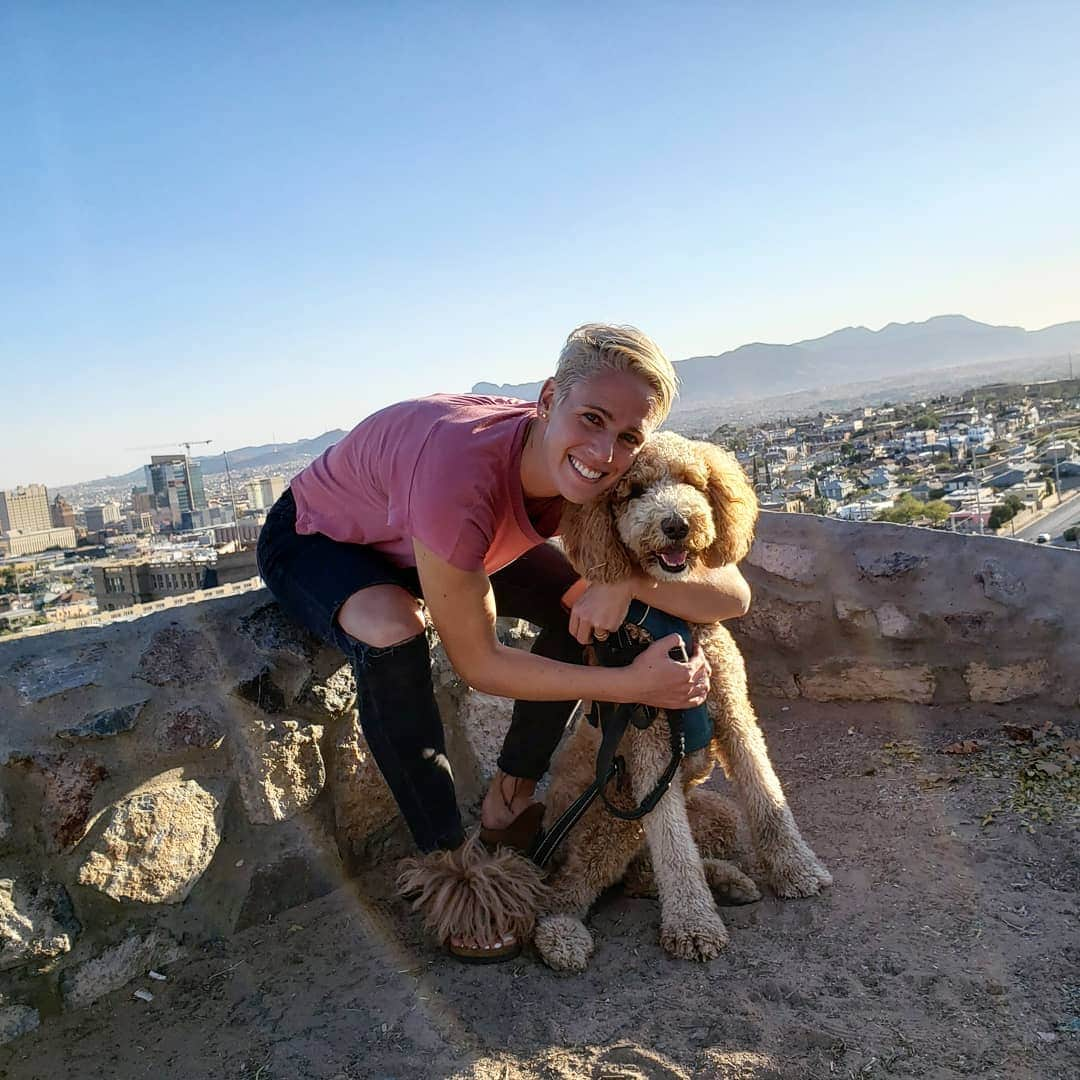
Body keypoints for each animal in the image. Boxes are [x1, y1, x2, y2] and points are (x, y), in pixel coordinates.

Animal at [533, 429, 833, 972]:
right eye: (632, 492)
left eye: (693, 481)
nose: (676, 524)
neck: (668, 627)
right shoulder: (650, 750)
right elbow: (673, 848)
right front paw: (694, 927)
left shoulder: (735, 716)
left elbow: (767, 796)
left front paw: (798, 870)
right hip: (613, 814)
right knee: (571, 886)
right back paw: (561, 934)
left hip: (711, 816)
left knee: (639, 875)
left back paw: (728, 880)